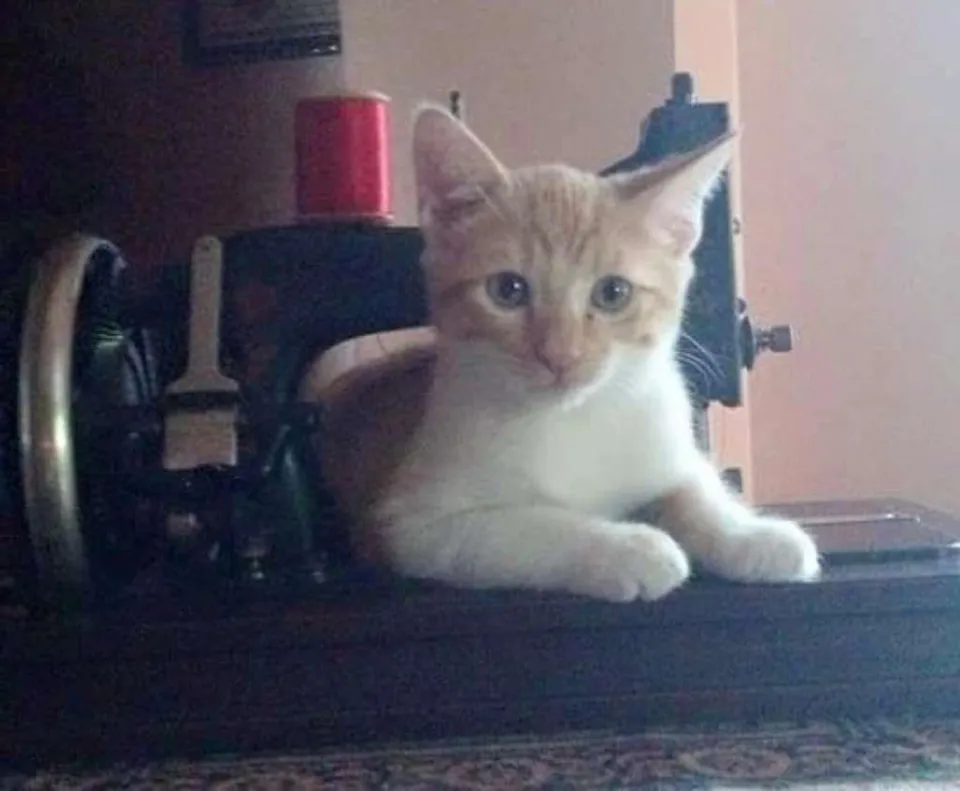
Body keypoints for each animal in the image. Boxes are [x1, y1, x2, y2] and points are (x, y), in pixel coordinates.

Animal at [306, 105, 820, 602]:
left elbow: (694, 488)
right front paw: (628, 547)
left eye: (613, 293)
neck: (574, 417)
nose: (560, 354)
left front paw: (752, 535)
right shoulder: (412, 523)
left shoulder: (664, 436)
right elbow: (528, 525)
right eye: (508, 290)